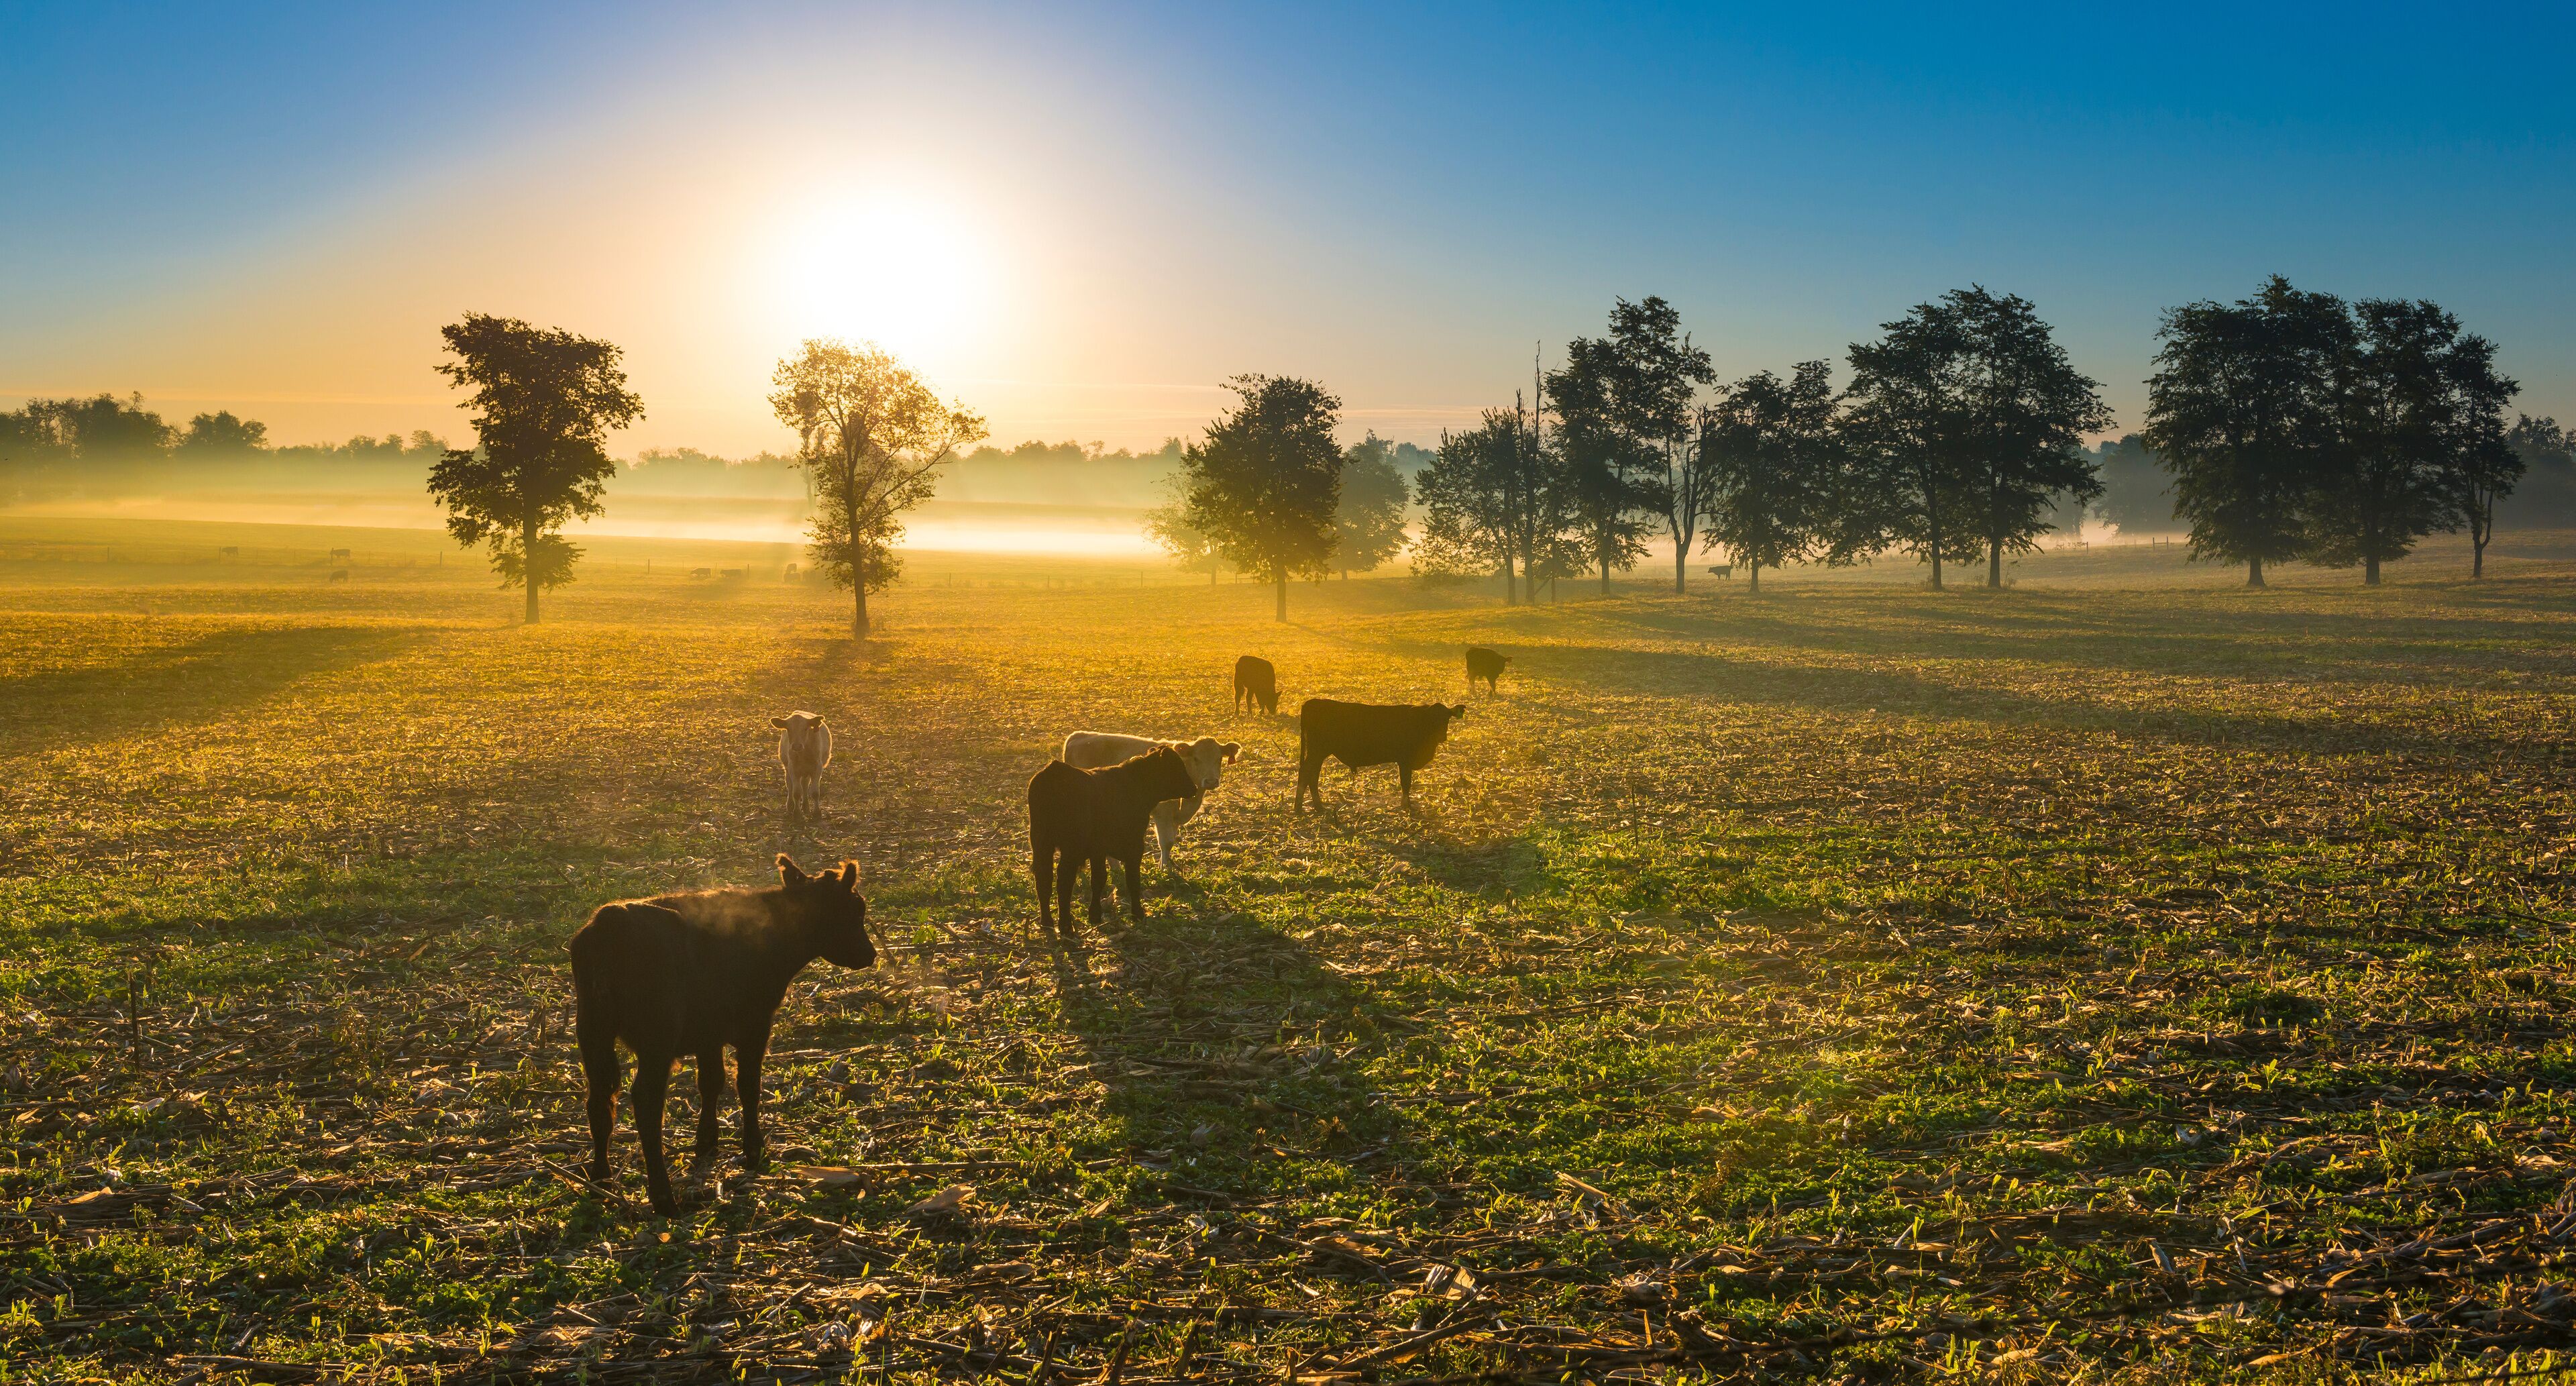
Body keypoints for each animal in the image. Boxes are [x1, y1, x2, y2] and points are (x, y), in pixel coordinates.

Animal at [570, 854, 877, 1215]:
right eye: (855, 910)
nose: (870, 955)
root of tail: (608, 923)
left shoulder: (709, 1032)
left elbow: (711, 1081)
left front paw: (706, 1143)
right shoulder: (756, 1024)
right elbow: (748, 1086)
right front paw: (753, 1150)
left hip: (592, 1031)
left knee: (600, 1100)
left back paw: (601, 1182)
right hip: (656, 1037)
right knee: (646, 1101)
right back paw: (663, 1197)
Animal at [770, 712, 831, 821]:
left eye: (806, 729)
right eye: (788, 729)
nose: (796, 746)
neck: (803, 754)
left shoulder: (818, 767)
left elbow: (815, 792)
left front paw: (817, 813)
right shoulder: (793, 769)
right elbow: (797, 792)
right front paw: (797, 814)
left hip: (806, 772)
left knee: (805, 785)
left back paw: (806, 807)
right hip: (788, 768)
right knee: (790, 785)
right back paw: (790, 806)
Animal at [1027, 746, 1204, 934]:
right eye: (1175, 767)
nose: (1193, 788)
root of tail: (1054, 771)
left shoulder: (1098, 850)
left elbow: (1099, 879)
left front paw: (1095, 915)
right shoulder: (1134, 845)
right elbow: (1133, 880)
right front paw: (1138, 913)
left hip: (1040, 843)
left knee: (1044, 878)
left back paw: (1046, 922)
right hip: (1070, 847)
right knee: (1064, 879)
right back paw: (1065, 925)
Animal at [1061, 731, 1241, 868]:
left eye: (1219, 758)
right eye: (1196, 758)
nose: (1211, 781)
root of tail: (1078, 736)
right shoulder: (1163, 814)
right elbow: (1166, 841)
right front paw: (1165, 869)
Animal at [1296, 698, 1467, 810]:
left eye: (1447, 718)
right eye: (1432, 719)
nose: (1442, 737)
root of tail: (1310, 703)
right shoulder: (1404, 760)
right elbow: (1406, 783)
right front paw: (1407, 807)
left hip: (1317, 753)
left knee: (1312, 775)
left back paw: (1316, 806)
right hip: (1317, 752)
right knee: (1306, 774)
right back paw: (1301, 808)